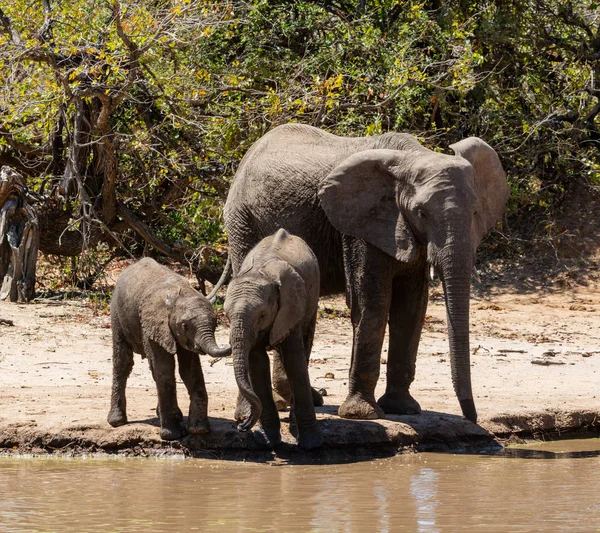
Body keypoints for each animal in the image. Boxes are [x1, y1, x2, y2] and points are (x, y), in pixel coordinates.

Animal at [106, 256, 231, 438]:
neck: (179, 295)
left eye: (215, 324)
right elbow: (164, 367)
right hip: (117, 312)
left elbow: (189, 369)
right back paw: (117, 422)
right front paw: (172, 436)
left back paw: (174, 415)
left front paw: (199, 430)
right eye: (185, 325)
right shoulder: (153, 324)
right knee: (123, 362)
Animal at [216, 123, 506, 424]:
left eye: (475, 212)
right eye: (421, 213)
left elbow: (411, 308)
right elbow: (373, 303)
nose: (471, 419)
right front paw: (362, 414)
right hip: (242, 221)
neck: (415, 156)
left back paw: (301, 399)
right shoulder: (360, 227)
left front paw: (402, 408)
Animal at [225, 228, 326, 448]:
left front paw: (311, 445)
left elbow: (294, 360)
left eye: (262, 315)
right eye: (226, 316)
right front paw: (267, 441)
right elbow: (256, 363)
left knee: (305, 343)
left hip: (312, 296)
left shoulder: (291, 305)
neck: (259, 273)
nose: (241, 426)